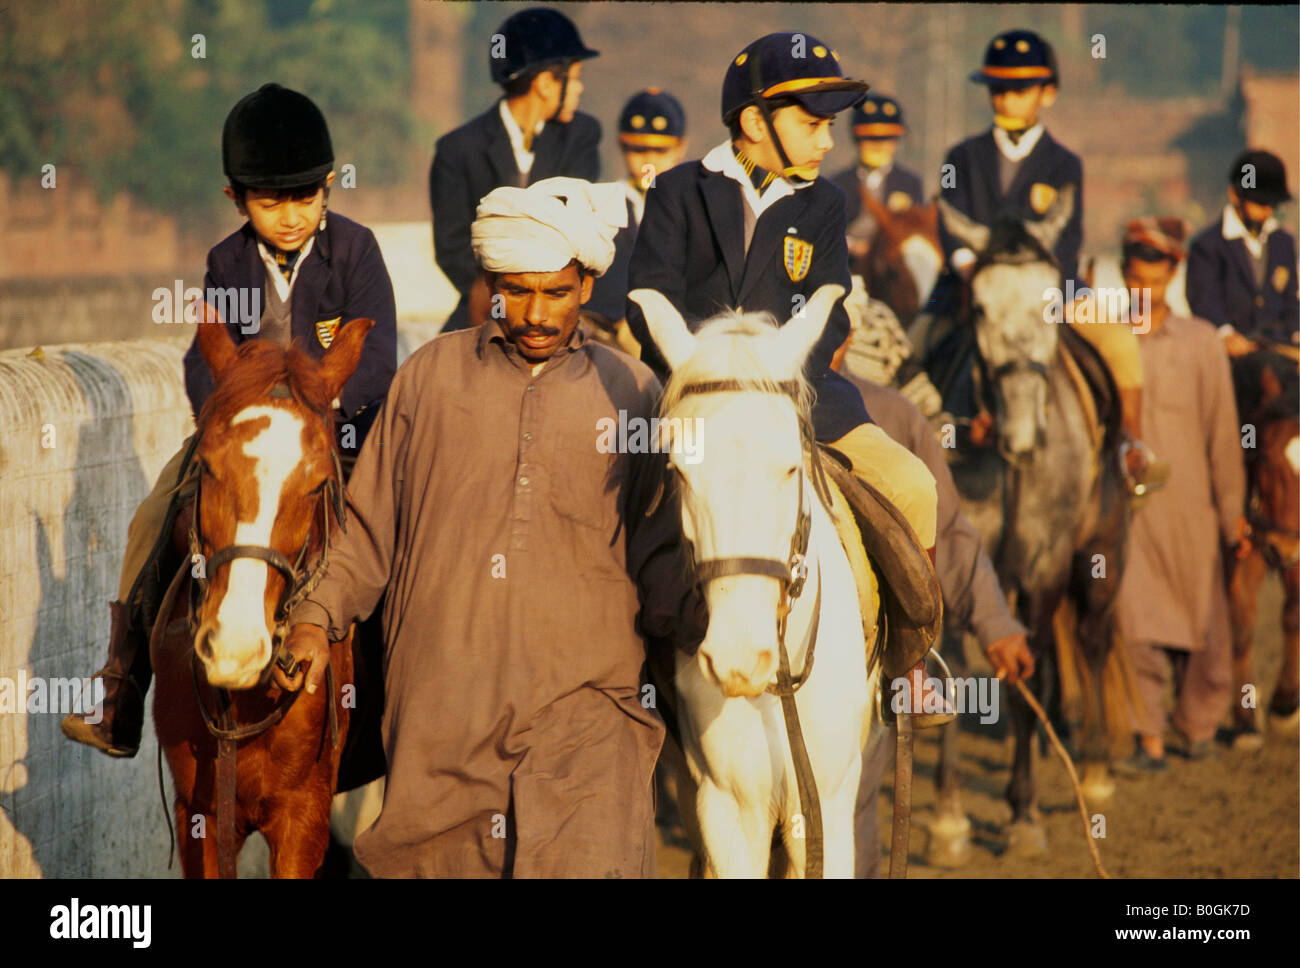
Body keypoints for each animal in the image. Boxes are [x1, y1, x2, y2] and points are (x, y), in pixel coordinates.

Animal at [925, 184, 1128, 857]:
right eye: (980, 308)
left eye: (1051, 306)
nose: (1020, 433)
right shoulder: (959, 562)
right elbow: (960, 672)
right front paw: (948, 817)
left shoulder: (1043, 568)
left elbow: (1028, 680)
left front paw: (1022, 812)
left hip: (1101, 552)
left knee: (1092, 638)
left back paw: (1093, 767)